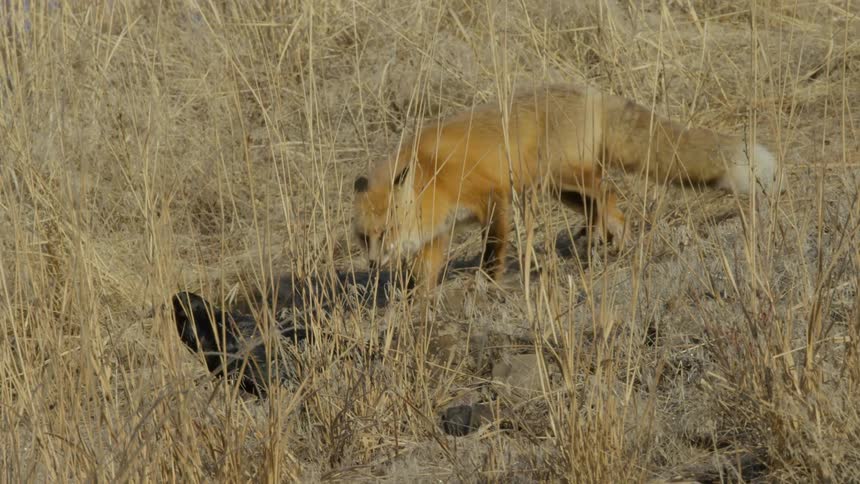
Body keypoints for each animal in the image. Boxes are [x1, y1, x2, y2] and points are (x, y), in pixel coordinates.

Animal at [351, 83, 778, 292]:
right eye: (364, 238)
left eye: (386, 232)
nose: (371, 265)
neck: (433, 177)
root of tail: (594, 94)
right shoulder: (438, 231)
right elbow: (427, 270)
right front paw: (417, 300)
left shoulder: (493, 198)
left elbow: (494, 249)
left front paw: (489, 281)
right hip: (562, 190)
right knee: (603, 205)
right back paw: (603, 238)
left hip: (564, 176)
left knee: (610, 193)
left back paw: (612, 239)